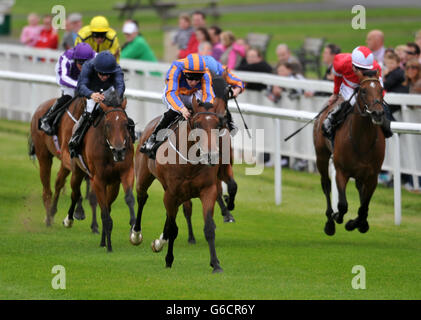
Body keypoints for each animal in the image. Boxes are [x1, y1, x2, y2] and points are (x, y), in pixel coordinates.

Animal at [29, 96, 98, 231]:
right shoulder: (68, 155)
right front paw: (79, 210)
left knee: (58, 182)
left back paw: (51, 213)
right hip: (44, 155)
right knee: (47, 189)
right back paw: (48, 217)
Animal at [62, 92, 135, 252]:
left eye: (126, 124)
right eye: (107, 124)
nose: (119, 151)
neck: (109, 152)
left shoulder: (125, 173)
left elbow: (129, 199)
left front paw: (135, 230)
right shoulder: (98, 180)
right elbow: (105, 214)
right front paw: (109, 247)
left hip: (113, 185)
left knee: (106, 206)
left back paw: (103, 240)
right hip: (77, 171)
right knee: (75, 193)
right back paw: (70, 218)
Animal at [131, 81, 230, 272]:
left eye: (217, 125)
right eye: (197, 124)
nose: (211, 155)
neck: (190, 162)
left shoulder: (208, 190)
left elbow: (208, 228)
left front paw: (216, 264)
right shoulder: (171, 193)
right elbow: (173, 228)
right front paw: (169, 259)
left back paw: (159, 242)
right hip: (144, 177)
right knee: (142, 198)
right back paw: (136, 235)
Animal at [314, 72, 386, 235]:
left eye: (381, 89)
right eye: (363, 91)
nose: (378, 113)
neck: (363, 140)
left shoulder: (373, 176)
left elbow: (364, 207)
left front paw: (358, 223)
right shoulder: (341, 171)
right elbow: (342, 205)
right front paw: (337, 217)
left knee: (359, 187)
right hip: (321, 155)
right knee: (326, 184)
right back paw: (330, 222)